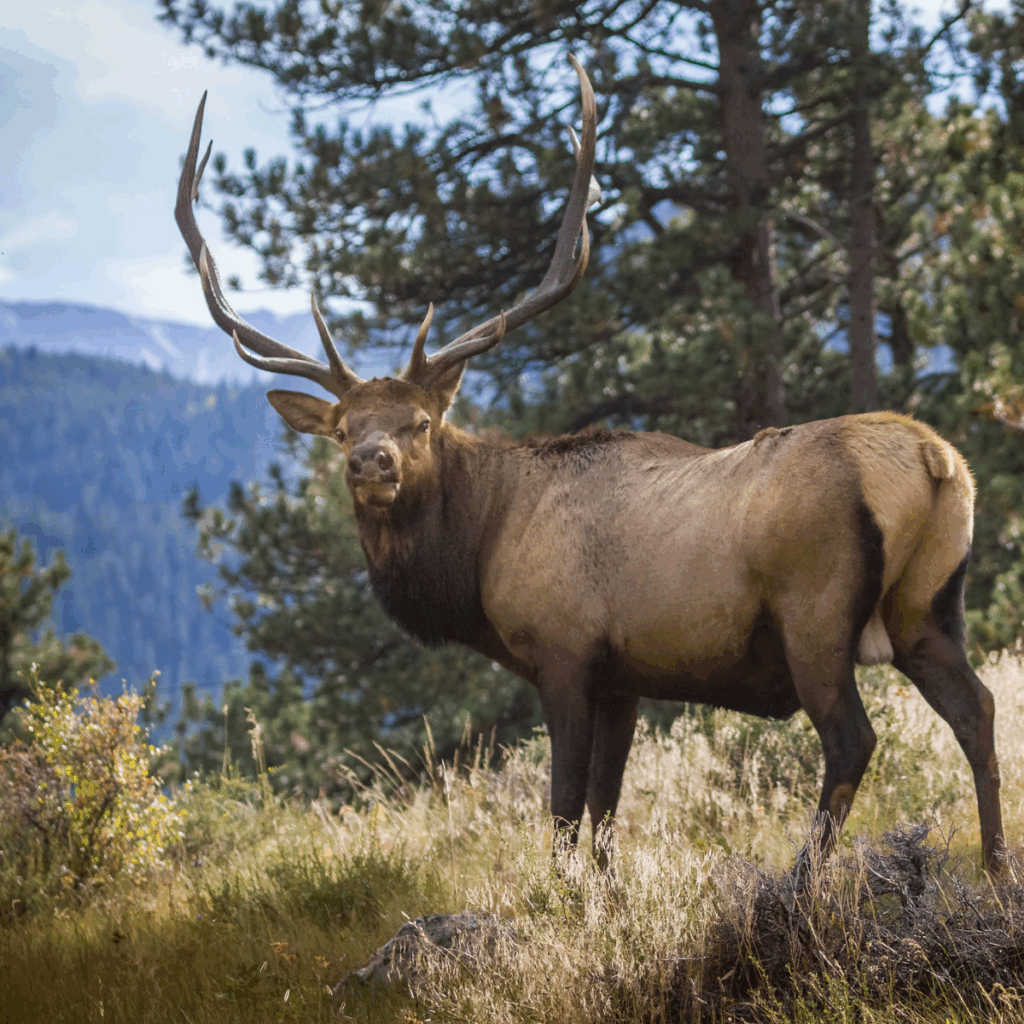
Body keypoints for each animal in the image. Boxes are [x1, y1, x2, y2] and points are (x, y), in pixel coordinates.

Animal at [175, 57, 1004, 873]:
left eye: (420, 423)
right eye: (343, 429)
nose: (372, 464)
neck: (480, 554)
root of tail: (934, 459)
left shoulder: (566, 654)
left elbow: (565, 811)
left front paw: (560, 895)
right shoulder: (625, 680)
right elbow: (606, 816)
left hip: (816, 609)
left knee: (852, 738)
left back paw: (801, 884)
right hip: (929, 607)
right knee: (978, 707)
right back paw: (996, 868)